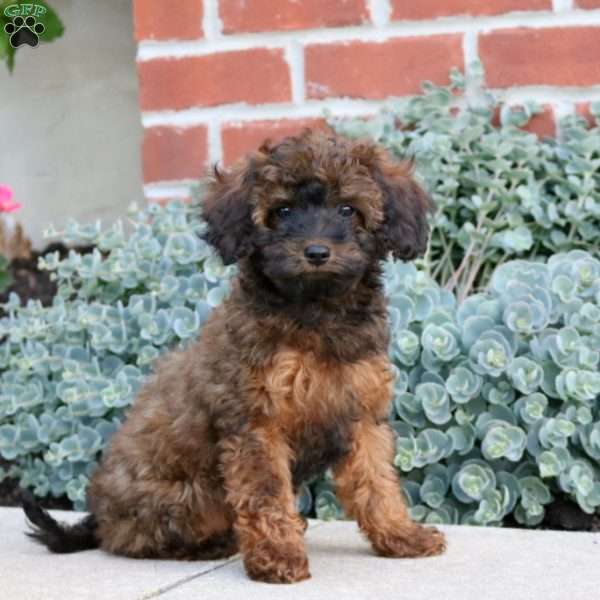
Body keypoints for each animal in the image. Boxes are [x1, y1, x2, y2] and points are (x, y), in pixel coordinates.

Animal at [22, 130, 446, 580]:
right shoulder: (256, 422)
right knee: (140, 538)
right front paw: (278, 554)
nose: (316, 252)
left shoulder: (362, 415)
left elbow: (376, 482)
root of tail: (100, 517)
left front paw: (401, 535)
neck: (317, 312)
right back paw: (215, 543)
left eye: (348, 209)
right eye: (282, 210)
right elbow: (265, 494)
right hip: (188, 495)